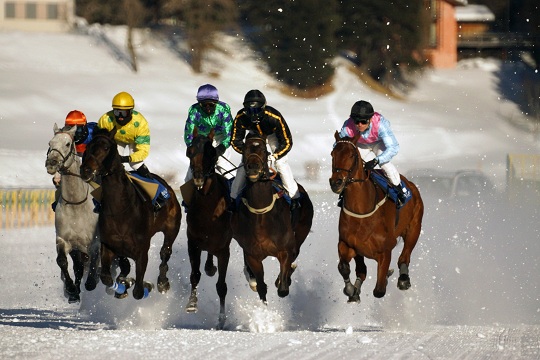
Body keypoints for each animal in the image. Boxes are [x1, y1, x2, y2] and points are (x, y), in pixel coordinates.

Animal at [45, 124, 100, 304]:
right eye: (50, 143)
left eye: (68, 143)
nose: (52, 163)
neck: (77, 205)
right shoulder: (64, 240)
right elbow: (62, 261)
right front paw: (71, 290)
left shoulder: (95, 241)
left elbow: (95, 259)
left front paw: (91, 282)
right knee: (78, 267)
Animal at [79, 128, 182, 300]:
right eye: (87, 148)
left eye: (106, 147)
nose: (85, 170)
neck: (120, 211)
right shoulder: (109, 246)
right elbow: (107, 277)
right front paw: (122, 286)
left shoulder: (142, 252)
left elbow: (138, 292)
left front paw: (145, 286)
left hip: (171, 228)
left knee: (165, 252)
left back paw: (162, 282)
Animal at [230, 134, 314, 302]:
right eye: (245, 148)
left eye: (264, 150)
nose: (253, 167)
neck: (261, 215)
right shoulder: (252, 254)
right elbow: (261, 287)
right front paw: (256, 283)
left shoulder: (285, 249)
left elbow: (283, 289)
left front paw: (283, 280)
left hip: (302, 230)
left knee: (296, 252)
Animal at [326, 131, 424, 302]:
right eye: (333, 154)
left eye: (352, 155)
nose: (336, 182)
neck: (361, 211)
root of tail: (411, 185)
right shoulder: (347, 244)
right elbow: (343, 267)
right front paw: (351, 289)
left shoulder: (385, 251)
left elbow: (379, 290)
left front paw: (386, 278)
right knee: (362, 270)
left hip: (414, 228)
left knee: (404, 257)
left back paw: (403, 278)